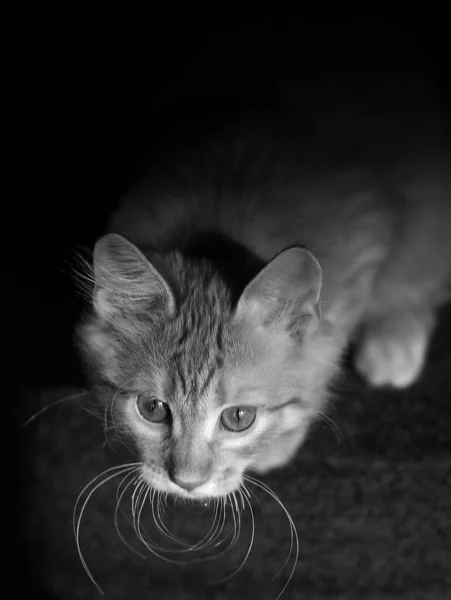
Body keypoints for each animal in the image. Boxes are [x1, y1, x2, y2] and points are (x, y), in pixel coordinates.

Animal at [76, 70, 450, 502]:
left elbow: (325, 360)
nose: (187, 482)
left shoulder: (369, 233)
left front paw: (277, 446)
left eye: (239, 418)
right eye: (152, 408)